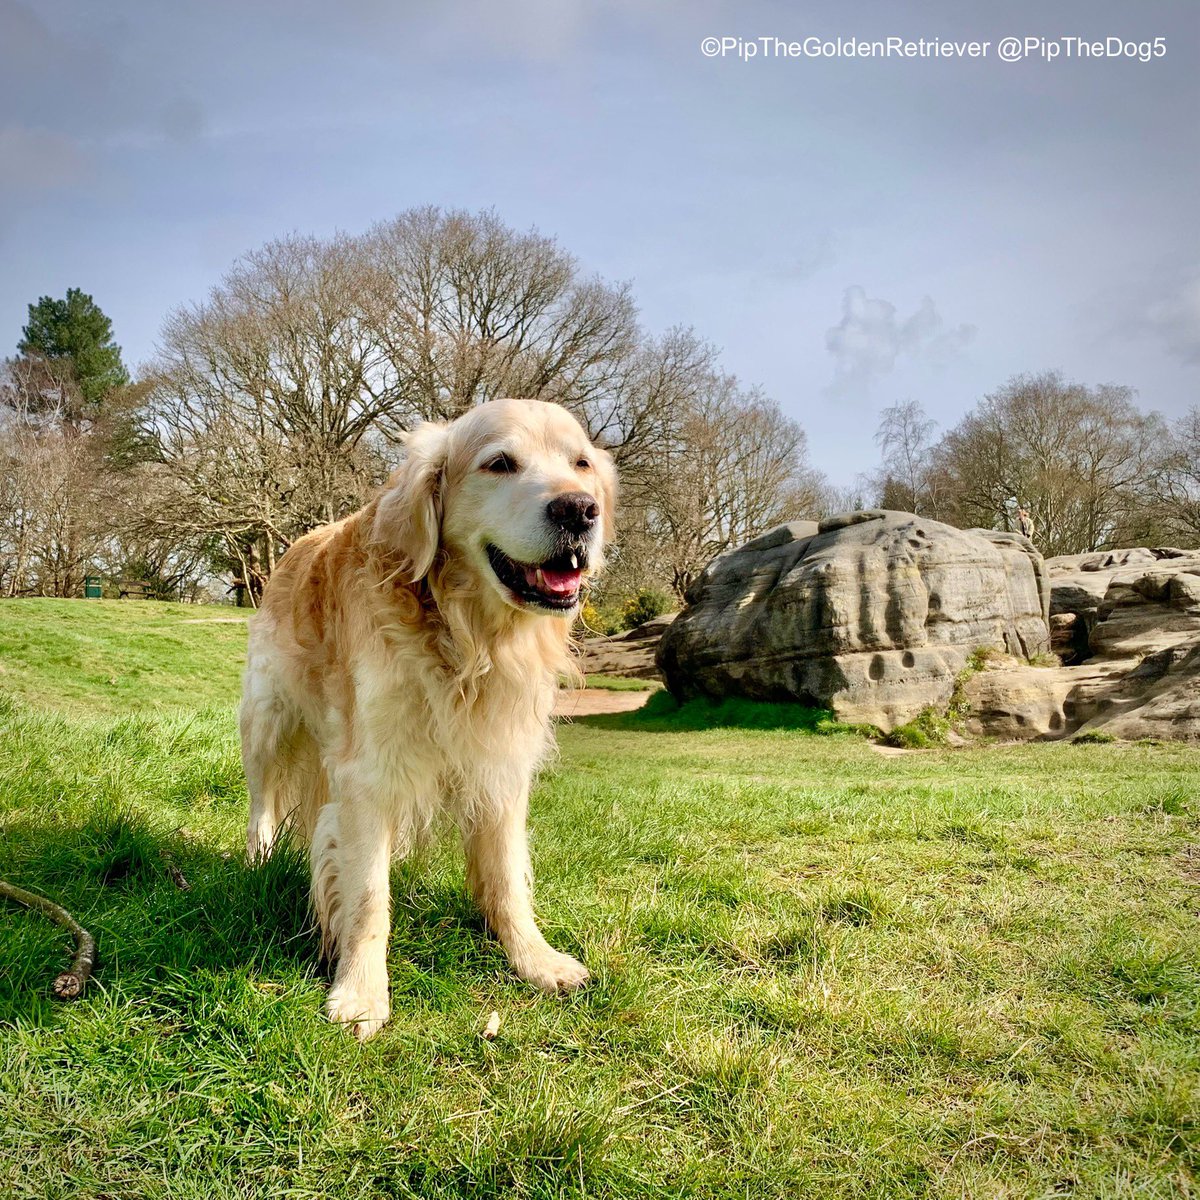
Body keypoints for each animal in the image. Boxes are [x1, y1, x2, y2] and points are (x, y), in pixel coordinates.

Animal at [242, 398, 619, 1036]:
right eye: (500, 463)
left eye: (582, 464)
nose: (579, 509)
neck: (471, 641)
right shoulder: (368, 774)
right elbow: (369, 896)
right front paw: (361, 993)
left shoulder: (501, 766)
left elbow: (507, 878)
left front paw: (534, 959)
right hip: (266, 720)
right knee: (261, 807)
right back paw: (257, 862)